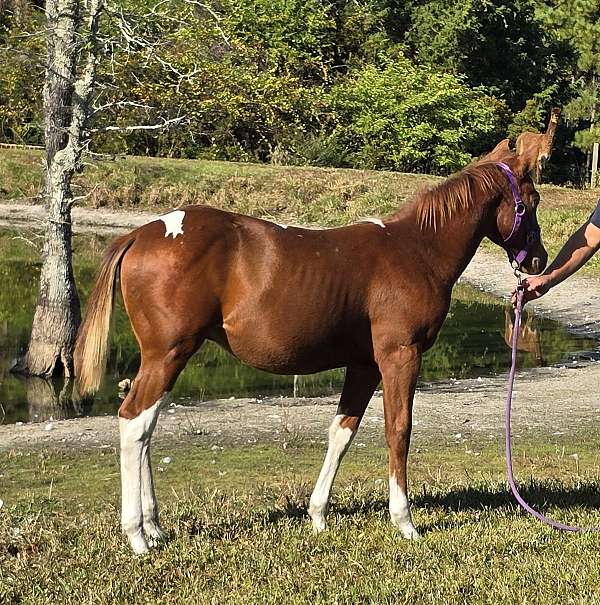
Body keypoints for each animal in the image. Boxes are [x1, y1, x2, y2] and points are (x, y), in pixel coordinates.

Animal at [72, 142, 548, 552]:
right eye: (533, 201)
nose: (539, 259)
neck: (416, 250)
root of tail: (140, 235)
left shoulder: (364, 365)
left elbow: (341, 432)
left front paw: (317, 516)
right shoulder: (399, 356)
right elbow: (399, 431)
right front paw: (405, 521)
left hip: (167, 357)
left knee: (146, 426)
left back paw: (154, 528)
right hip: (169, 353)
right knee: (134, 422)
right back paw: (137, 535)